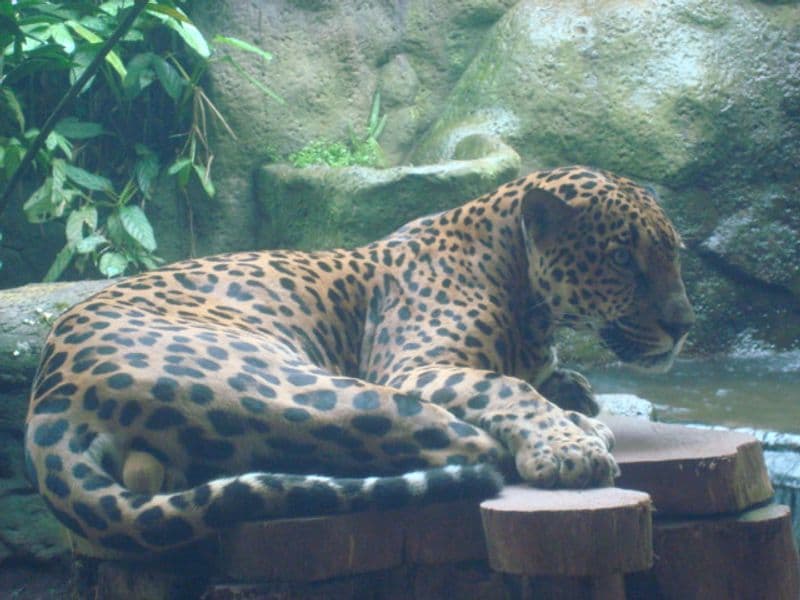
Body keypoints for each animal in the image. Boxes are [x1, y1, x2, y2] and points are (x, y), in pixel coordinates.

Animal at [25, 165, 694, 556]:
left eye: (674, 253)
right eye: (623, 259)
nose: (684, 325)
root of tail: (49, 401)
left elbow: (549, 378)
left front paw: (574, 395)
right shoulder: (416, 366)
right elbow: (506, 386)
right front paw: (569, 443)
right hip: (306, 382)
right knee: (459, 444)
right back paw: (579, 436)